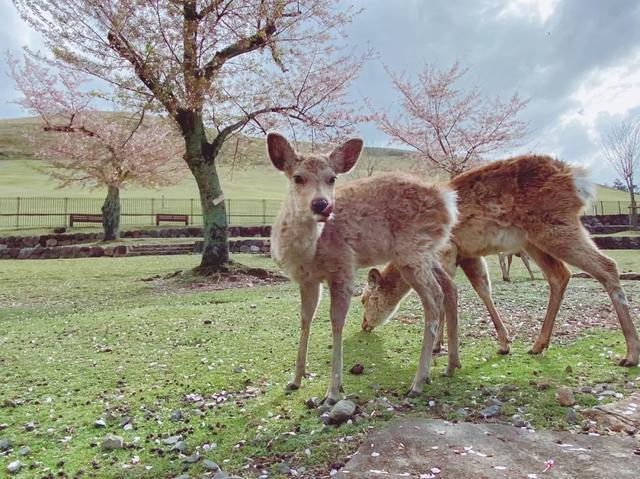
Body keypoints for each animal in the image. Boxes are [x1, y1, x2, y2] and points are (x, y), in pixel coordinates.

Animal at [266, 132, 460, 404]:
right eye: (297, 177)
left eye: (332, 178)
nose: (322, 205)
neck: (308, 252)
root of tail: (449, 203)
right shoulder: (307, 280)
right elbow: (305, 319)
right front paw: (295, 380)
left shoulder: (344, 268)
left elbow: (336, 322)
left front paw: (333, 392)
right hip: (427, 251)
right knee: (450, 287)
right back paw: (451, 365)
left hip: (412, 250)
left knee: (434, 297)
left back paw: (418, 381)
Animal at [364, 155, 640, 368]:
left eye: (366, 299)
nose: (365, 325)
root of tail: (579, 180)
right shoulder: (469, 254)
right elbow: (483, 289)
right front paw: (504, 343)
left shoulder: (446, 251)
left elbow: (446, 294)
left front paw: (438, 345)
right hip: (533, 240)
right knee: (560, 275)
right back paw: (538, 345)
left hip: (556, 226)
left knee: (606, 266)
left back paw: (630, 354)